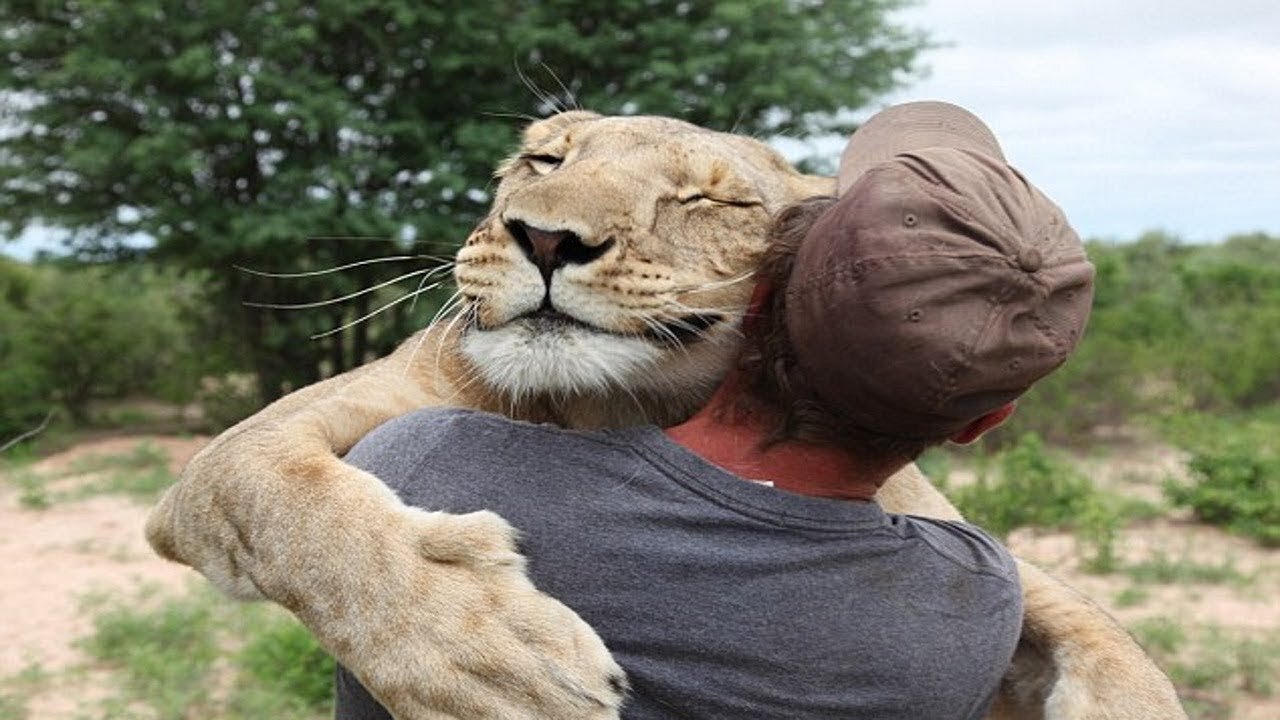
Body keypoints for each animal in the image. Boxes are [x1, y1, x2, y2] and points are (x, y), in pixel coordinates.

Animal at [145, 109, 1182, 712]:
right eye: (543, 158)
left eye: (705, 199)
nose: (546, 237)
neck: (612, 406)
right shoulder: (282, 445)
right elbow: (290, 505)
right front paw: (484, 652)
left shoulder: (946, 528)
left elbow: (1100, 628)